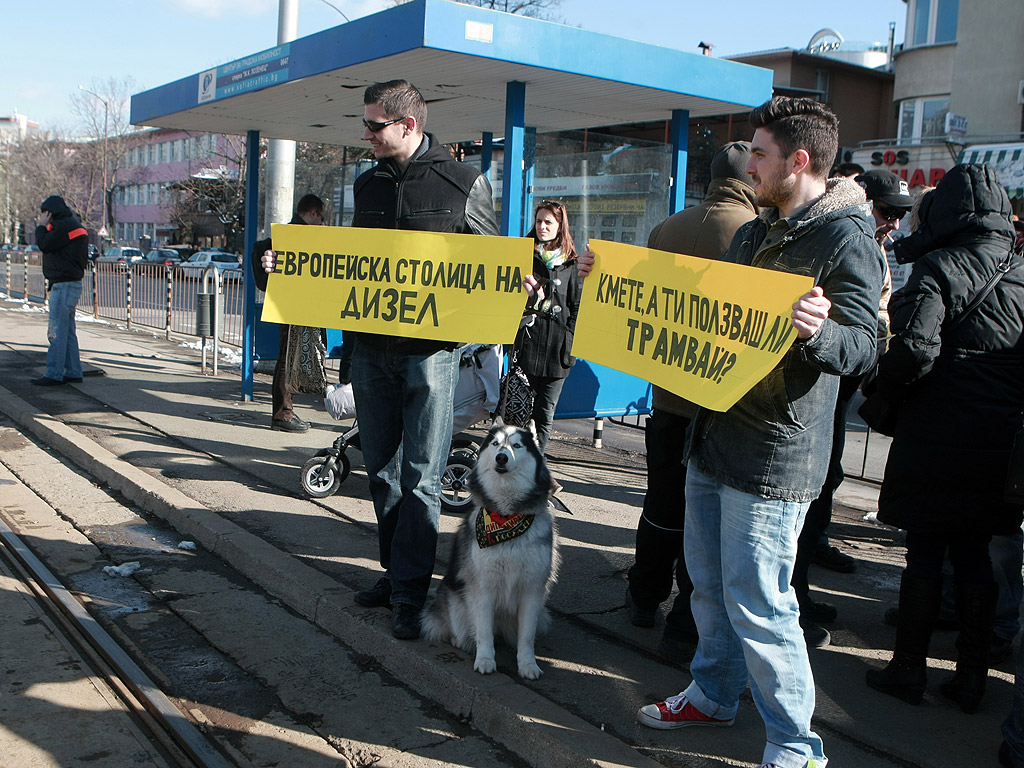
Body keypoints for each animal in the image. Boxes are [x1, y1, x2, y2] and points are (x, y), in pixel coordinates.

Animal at [419, 421, 561, 679]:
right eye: (495, 443)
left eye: (517, 445)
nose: (501, 457)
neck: (505, 517)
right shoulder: (483, 587)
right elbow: (484, 631)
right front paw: (485, 659)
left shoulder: (532, 590)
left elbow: (527, 637)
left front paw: (528, 664)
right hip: (456, 601)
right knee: (463, 629)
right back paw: (462, 641)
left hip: (541, 614)